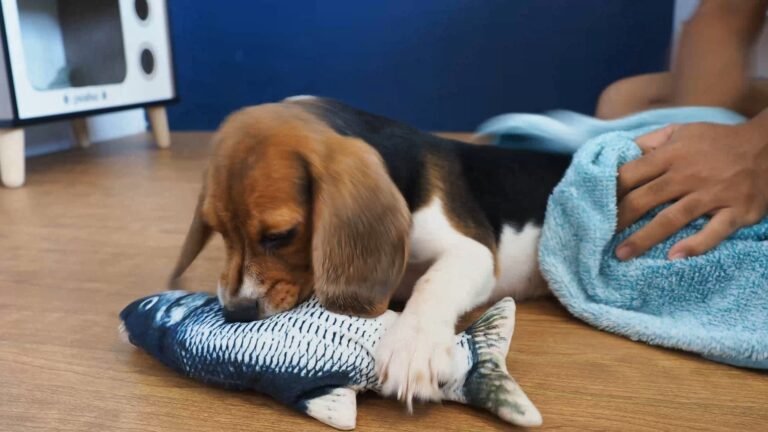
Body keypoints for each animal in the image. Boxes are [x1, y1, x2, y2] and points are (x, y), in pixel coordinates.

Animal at [172, 97, 568, 408]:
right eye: (219, 231)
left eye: (281, 236)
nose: (235, 312)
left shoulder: (473, 250)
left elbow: (434, 281)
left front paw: (414, 344)